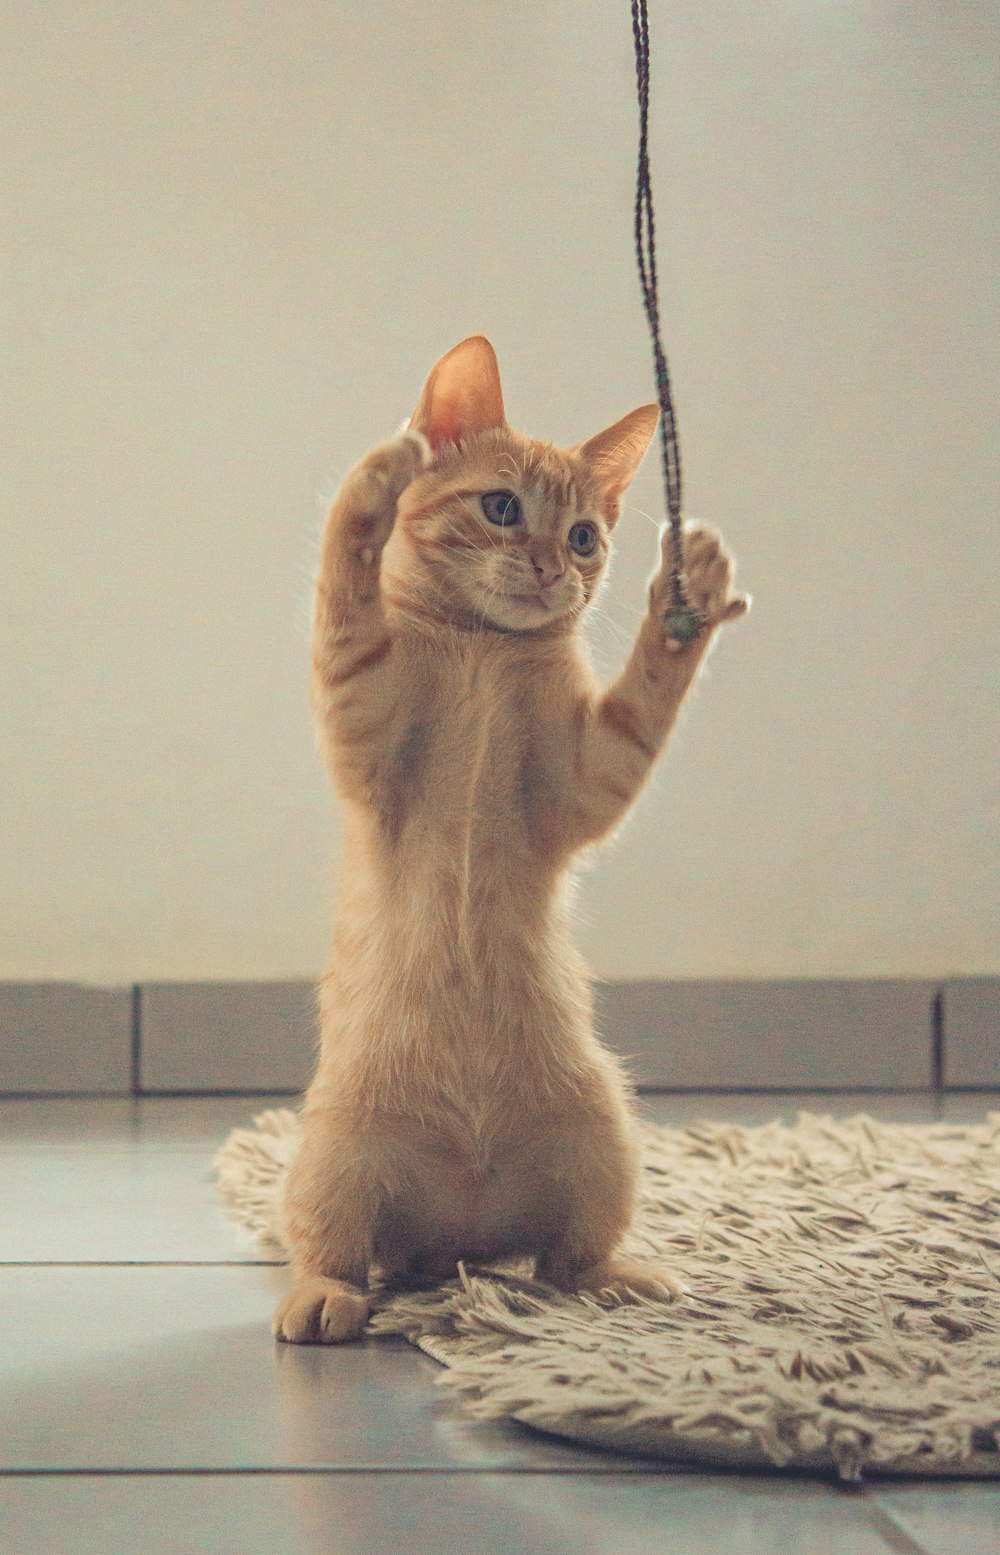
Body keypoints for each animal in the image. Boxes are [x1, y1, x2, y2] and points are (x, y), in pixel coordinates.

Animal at [270, 334, 746, 1343]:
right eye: (501, 509)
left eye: (583, 537)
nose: (550, 568)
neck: (485, 648)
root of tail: (462, 1232)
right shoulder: (361, 718)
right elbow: (344, 598)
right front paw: (373, 484)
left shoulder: (585, 780)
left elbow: (644, 703)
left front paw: (685, 601)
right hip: (334, 1154)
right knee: (333, 1247)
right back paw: (327, 1296)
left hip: (605, 1135)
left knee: (566, 1257)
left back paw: (616, 1279)